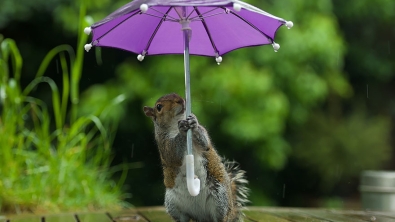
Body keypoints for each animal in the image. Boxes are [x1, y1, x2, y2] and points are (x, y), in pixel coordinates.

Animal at [143, 93, 248, 222]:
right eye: (159, 107)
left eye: (178, 95)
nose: (181, 100)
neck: (174, 124)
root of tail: (201, 216)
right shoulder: (163, 145)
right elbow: (172, 155)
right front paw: (182, 130)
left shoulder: (203, 137)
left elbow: (205, 144)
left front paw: (194, 123)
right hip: (173, 203)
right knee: (183, 218)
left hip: (219, 198)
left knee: (220, 217)